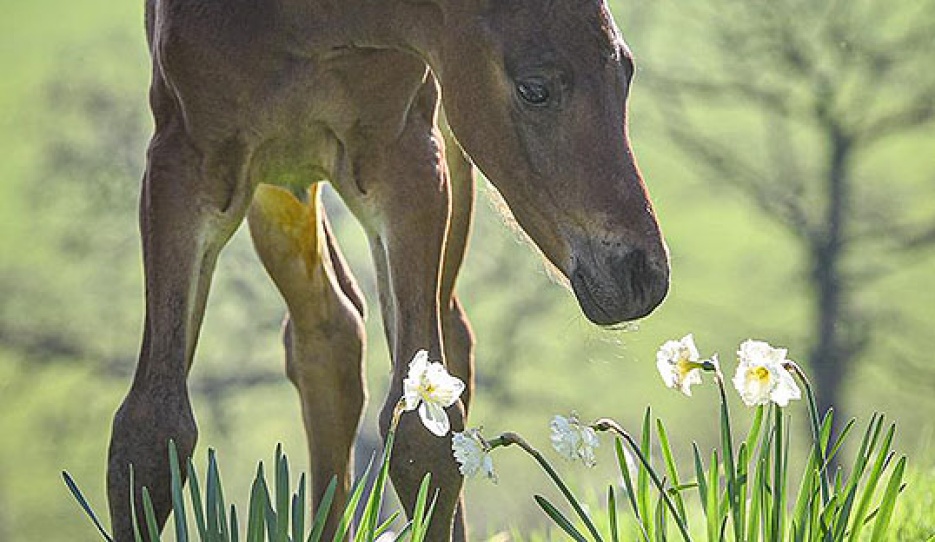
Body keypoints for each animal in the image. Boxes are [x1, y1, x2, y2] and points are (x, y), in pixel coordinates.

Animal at [107, 0, 670, 540]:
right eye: (534, 88)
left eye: (626, 72)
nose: (643, 277)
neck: (299, 21)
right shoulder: (181, 162)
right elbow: (150, 430)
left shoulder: (410, 158)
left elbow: (424, 438)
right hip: (279, 172)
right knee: (327, 327)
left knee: (440, 335)